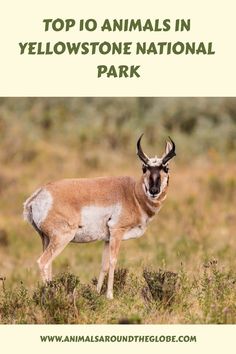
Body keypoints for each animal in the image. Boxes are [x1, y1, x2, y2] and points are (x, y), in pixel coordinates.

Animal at [23, 135, 175, 298]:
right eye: (144, 168)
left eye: (165, 168)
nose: (154, 191)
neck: (133, 194)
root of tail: (40, 194)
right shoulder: (117, 232)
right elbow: (113, 261)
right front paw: (110, 296)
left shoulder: (107, 239)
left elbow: (104, 265)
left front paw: (96, 293)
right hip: (62, 238)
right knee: (43, 262)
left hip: (46, 239)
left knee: (48, 264)